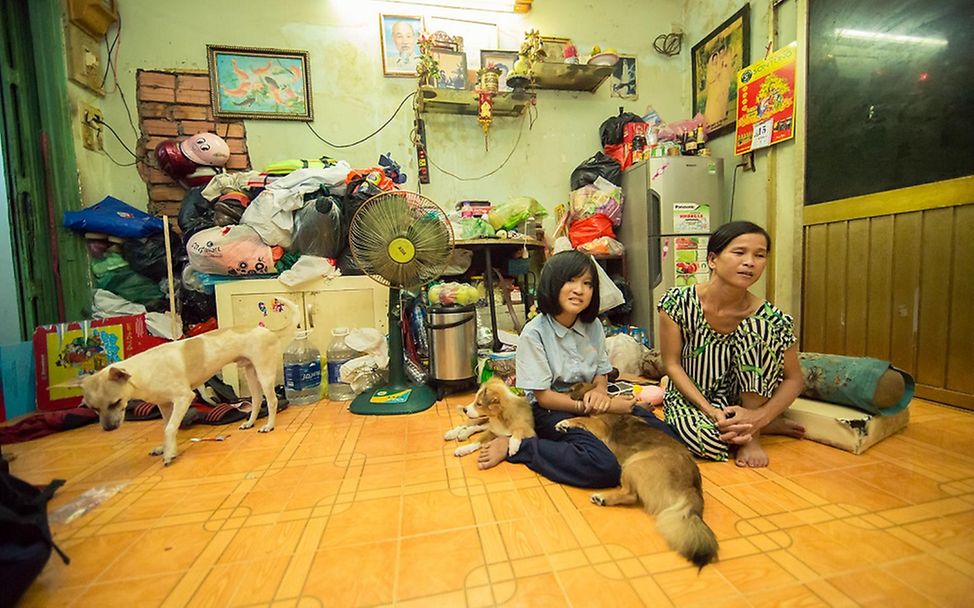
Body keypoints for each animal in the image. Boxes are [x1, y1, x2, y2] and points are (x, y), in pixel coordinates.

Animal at [556, 410, 716, 568]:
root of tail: (691, 486)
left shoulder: (599, 425)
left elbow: (582, 419)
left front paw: (565, 423)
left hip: (634, 463)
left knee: (631, 495)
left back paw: (602, 498)